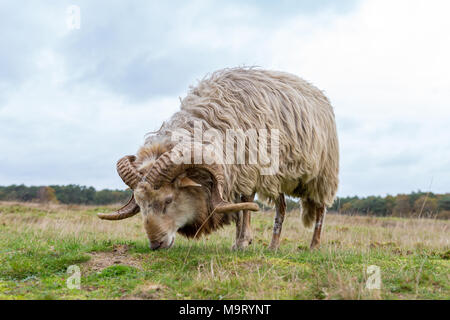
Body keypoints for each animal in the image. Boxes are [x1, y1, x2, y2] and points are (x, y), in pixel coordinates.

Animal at [98, 67, 338, 251]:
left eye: (168, 200)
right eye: (139, 204)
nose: (155, 245)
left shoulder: (247, 168)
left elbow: (245, 203)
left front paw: (242, 242)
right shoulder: (234, 173)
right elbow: (238, 207)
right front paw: (241, 240)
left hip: (322, 175)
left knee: (321, 209)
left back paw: (314, 246)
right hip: (278, 177)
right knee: (282, 208)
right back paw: (273, 247)